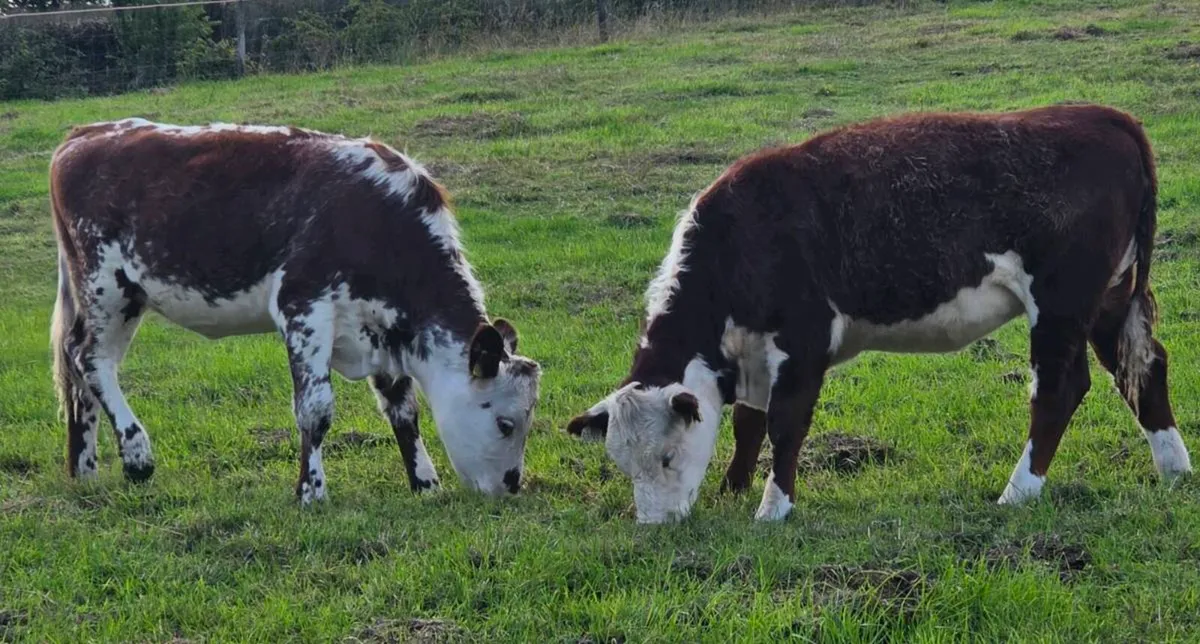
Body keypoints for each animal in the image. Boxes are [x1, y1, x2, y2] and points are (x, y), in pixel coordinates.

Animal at [49, 118, 541, 503]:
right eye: (505, 423)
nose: (510, 485)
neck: (374, 220)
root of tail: (85, 133)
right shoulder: (304, 307)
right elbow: (316, 409)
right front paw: (311, 491)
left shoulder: (381, 326)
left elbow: (403, 409)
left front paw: (424, 483)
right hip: (107, 287)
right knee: (91, 359)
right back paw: (136, 456)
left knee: (77, 368)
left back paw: (85, 469)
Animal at [566, 104, 1192, 524]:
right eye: (623, 464)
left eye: (668, 456)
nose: (656, 526)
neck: (741, 240)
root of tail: (1102, 116)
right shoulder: (751, 353)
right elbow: (747, 422)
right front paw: (733, 488)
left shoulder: (803, 341)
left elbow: (784, 425)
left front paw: (772, 509)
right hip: (1110, 298)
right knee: (1145, 370)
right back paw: (1175, 470)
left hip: (1061, 303)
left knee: (1060, 390)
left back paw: (1017, 492)